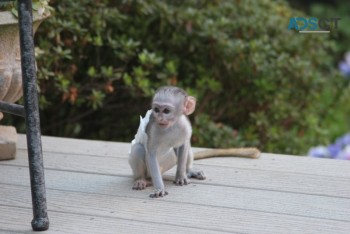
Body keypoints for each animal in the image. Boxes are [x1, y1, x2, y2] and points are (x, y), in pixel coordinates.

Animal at [129, 86, 260, 197]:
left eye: (166, 111)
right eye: (156, 110)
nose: (160, 118)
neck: (171, 126)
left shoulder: (185, 126)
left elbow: (183, 145)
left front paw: (181, 176)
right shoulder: (154, 129)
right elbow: (151, 154)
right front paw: (159, 188)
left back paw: (189, 171)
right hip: (149, 171)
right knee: (138, 149)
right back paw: (140, 179)